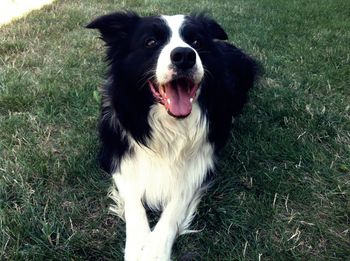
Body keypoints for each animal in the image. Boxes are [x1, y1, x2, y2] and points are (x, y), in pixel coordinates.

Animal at [87, 11, 258, 258]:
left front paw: (155, 249)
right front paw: (138, 244)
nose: (185, 56)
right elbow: (133, 200)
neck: (170, 126)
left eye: (196, 42)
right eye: (151, 42)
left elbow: (176, 202)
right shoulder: (115, 154)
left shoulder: (202, 162)